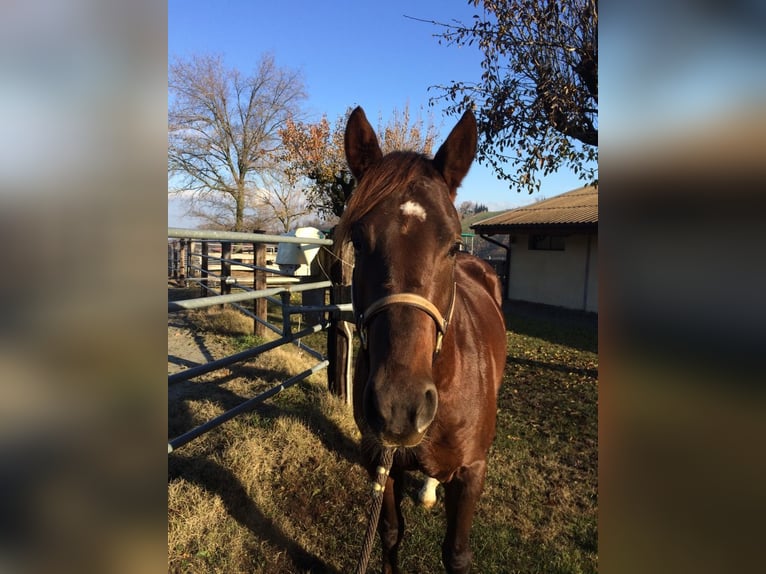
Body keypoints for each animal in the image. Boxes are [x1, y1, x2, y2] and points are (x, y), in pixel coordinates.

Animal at [338, 109, 508, 574]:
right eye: (359, 240)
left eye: (451, 245)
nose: (400, 407)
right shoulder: (380, 464)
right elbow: (390, 534)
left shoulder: (472, 474)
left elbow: (457, 555)